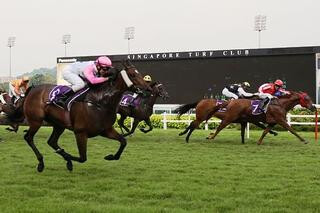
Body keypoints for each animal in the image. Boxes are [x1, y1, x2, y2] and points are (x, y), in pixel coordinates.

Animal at [13, 60, 151, 172]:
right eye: (133, 75)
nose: (148, 89)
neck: (101, 102)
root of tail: (32, 89)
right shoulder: (80, 132)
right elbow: (82, 158)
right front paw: (68, 157)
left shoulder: (105, 130)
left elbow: (123, 141)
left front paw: (111, 156)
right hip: (36, 121)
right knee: (28, 138)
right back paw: (41, 162)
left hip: (59, 125)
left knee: (51, 141)